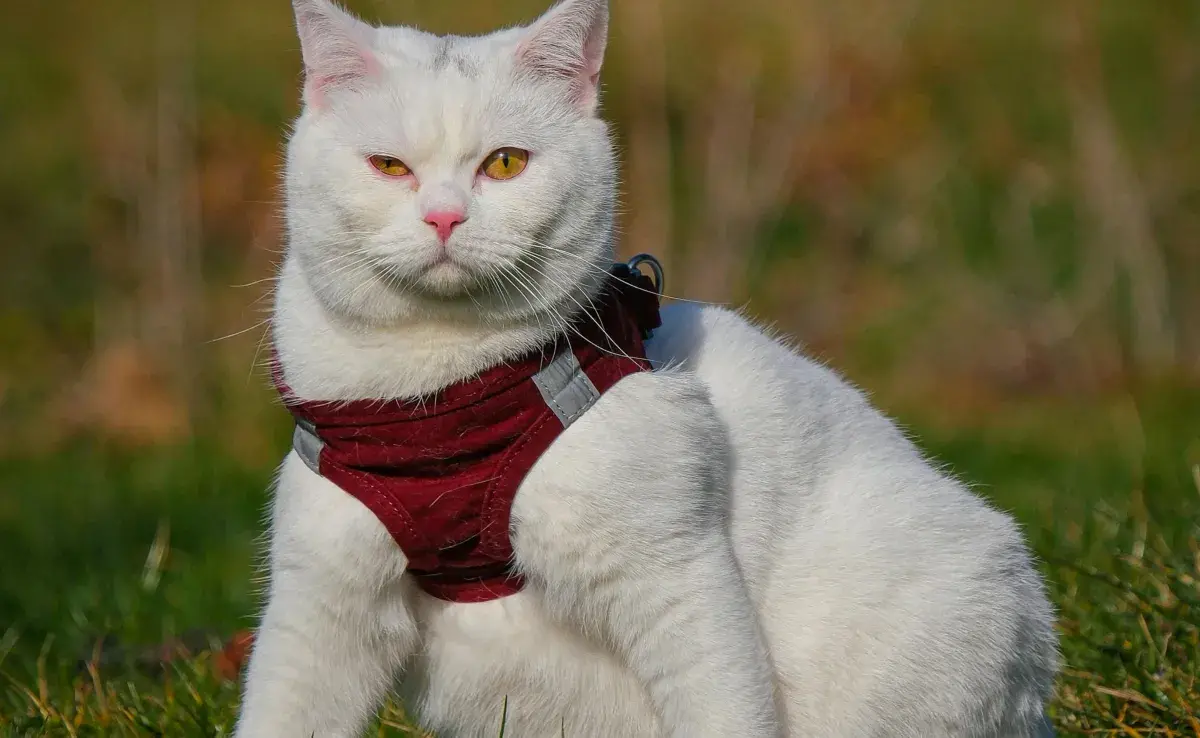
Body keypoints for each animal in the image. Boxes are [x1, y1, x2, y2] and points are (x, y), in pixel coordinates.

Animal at [236, 1, 1060, 738]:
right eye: (388, 166)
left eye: (505, 163)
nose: (444, 217)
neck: (437, 400)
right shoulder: (323, 604)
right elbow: (280, 713)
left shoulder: (676, 577)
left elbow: (724, 712)